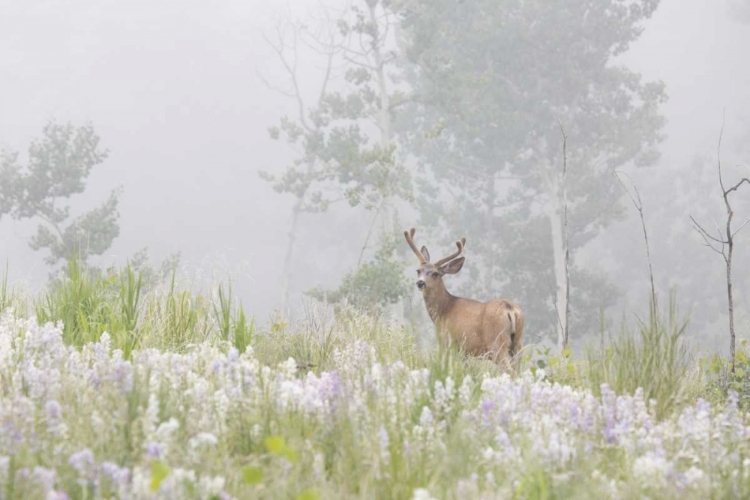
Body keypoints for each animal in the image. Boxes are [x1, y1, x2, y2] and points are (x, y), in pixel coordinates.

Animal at [408, 228, 524, 372]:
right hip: (518, 343)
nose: (420, 283)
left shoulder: (448, 343)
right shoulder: (464, 352)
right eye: (418, 270)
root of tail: (510, 309)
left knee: (509, 371)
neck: (443, 311)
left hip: (497, 342)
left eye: (435, 273)